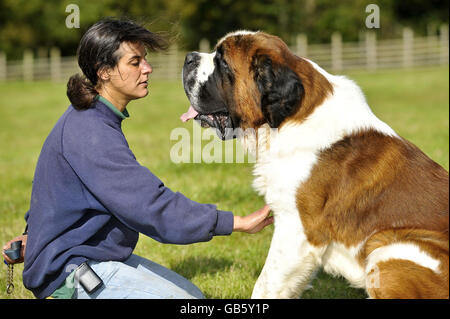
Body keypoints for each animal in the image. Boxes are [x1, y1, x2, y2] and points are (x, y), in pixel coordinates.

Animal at [180, 31, 450, 298]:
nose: (189, 57)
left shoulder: (296, 230)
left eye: (223, 62)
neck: (288, 120)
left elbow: (266, 283)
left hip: (389, 248)